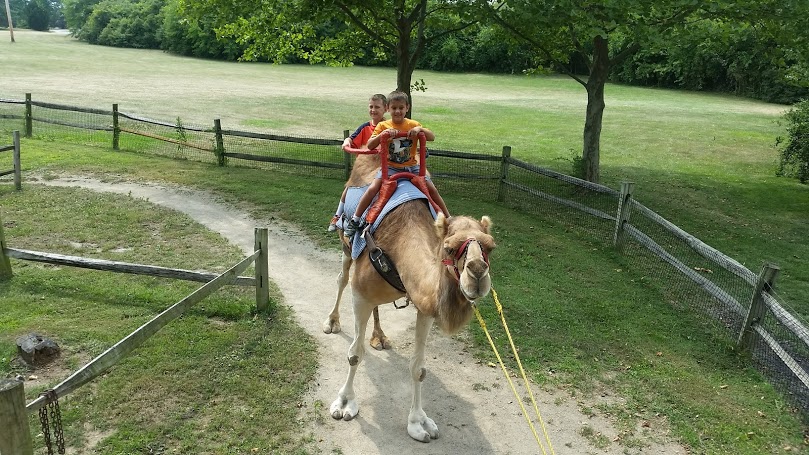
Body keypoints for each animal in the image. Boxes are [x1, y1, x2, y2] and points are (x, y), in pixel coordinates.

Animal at [322, 152, 492, 442]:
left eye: (491, 247)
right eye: (449, 247)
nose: (477, 273)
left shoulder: (425, 307)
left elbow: (418, 368)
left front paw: (419, 423)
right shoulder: (360, 295)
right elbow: (354, 354)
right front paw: (344, 403)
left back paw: (379, 336)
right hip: (346, 247)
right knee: (342, 279)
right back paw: (332, 322)